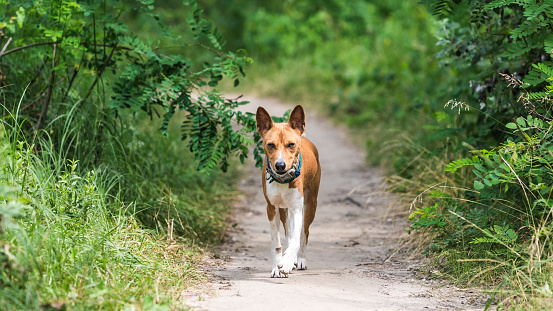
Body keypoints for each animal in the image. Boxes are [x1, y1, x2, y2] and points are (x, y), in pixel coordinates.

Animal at [253, 105, 320, 278]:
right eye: (270, 145)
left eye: (291, 144)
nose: (280, 165)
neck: (282, 180)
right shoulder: (272, 209)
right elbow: (276, 244)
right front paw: (278, 267)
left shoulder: (297, 208)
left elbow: (297, 237)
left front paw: (289, 261)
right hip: (283, 210)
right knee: (288, 231)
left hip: (310, 204)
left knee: (304, 232)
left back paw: (300, 259)